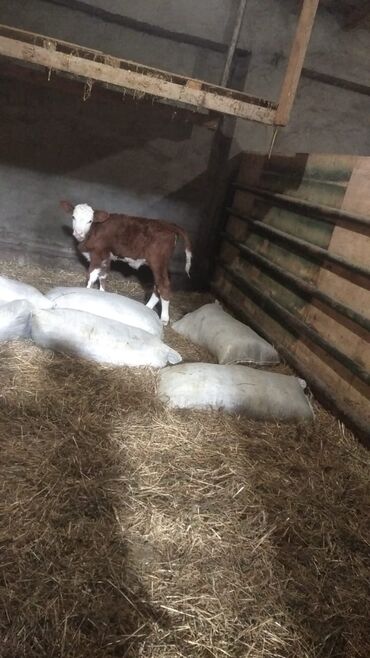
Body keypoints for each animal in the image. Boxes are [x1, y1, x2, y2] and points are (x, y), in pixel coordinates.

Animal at [59, 200, 192, 322]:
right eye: (73, 217)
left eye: (90, 221)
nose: (79, 233)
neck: (94, 230)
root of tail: (169, 224)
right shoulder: (106, 257)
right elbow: (103, 276)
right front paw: (101, 294)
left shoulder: (97, 254)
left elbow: (91, 276)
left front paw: (86, 292)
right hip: (161, 265)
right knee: (157, 287)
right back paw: (147, 309)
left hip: (158, 261)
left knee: (164, 286)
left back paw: (164, 319)